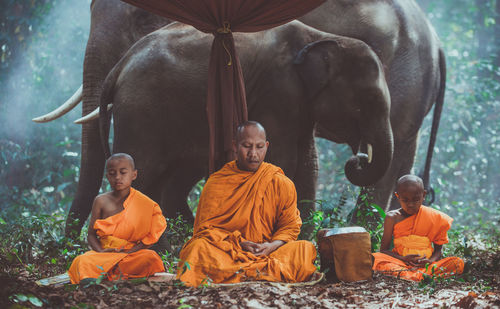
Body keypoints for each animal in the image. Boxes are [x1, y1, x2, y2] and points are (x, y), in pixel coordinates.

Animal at [97, 21, 394, 224]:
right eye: (366, 100)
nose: (358, 159)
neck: (322, 37)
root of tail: (119, 65)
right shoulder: (277, 91)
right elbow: (284, 160)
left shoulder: (299, 104)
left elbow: (308, 164)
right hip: (141, 113)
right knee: (143, 173)